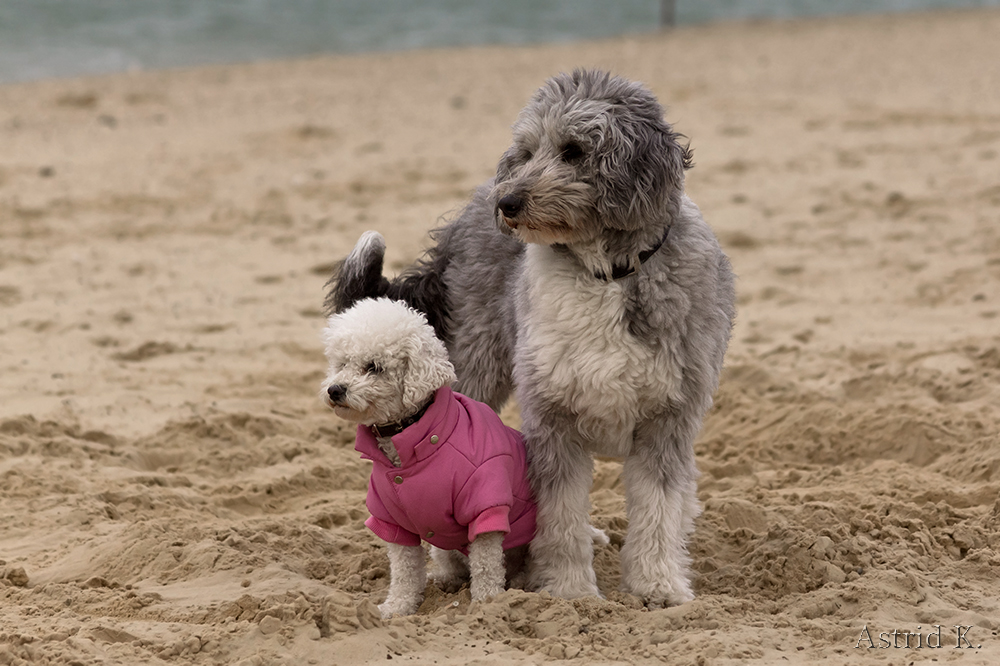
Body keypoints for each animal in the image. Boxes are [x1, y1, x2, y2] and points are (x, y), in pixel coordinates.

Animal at [320, 296, 540, 616]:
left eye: (374, 367)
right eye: (342, 363)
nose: (335, 389)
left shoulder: (485, 506)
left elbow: (486, 564)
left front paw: (487, 603)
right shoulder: (393, 520)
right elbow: (404, 570)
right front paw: (397, 607)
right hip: (445, 548)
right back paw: (445, 579)